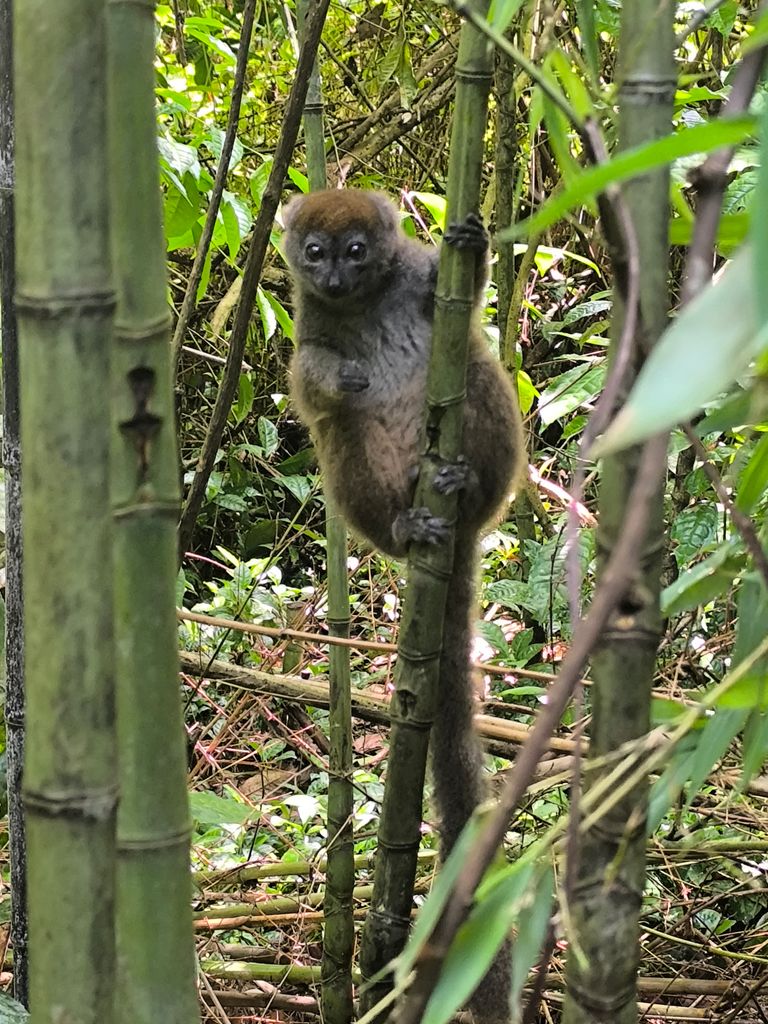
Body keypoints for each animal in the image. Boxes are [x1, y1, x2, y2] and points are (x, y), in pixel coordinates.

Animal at [282, 188, 525, 1022]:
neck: (362, 302)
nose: (331, 277)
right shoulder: (305, 321)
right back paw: (404, 525)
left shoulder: (421, 276)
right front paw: (339, 374)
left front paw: (473, 241)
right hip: (367, 489)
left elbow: (463, 298)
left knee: (480, 366)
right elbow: (306, 379)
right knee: (337, 436)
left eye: (356, 251)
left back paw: (463, 485)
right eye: (314, 253)